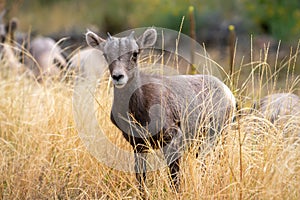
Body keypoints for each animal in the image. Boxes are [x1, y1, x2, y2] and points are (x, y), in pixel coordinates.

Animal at [85, 27, 236, 192]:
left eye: (135, 53)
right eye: (106, 55)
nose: (118, 77)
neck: (139, 110)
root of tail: (229, 95)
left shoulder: (172, 141)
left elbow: (174, 180)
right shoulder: (139, 146)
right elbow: (141, 179)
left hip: (214, 138)